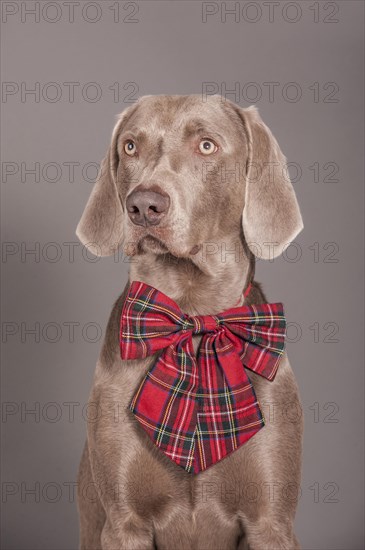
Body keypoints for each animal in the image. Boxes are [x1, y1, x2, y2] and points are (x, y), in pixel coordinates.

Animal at [76, 96, 304, 550]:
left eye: (206, 146)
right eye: (130, 146)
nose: (144, 205)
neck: (194, 314)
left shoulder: (271, 521)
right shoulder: (124, 522)